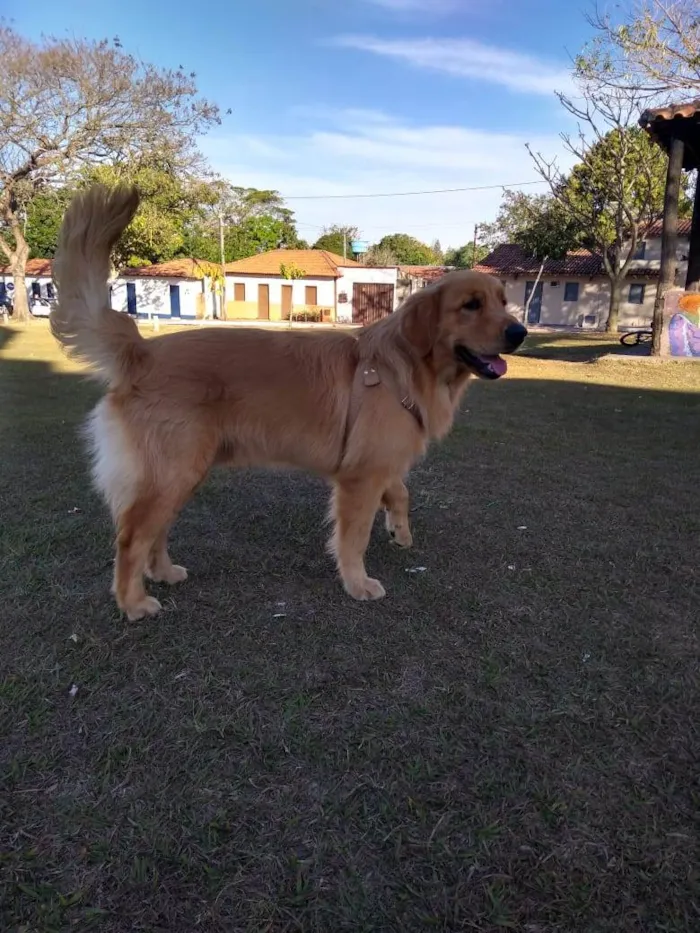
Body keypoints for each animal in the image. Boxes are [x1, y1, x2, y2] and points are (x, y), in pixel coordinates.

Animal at [50, 184, 524, 620]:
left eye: (504, 302)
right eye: (470, 305)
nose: (519, 332)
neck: (405, 365)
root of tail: (142, 351)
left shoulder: (381, 460)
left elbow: (401, 491)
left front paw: (399, 530)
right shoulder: (360, 476)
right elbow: (354, 537)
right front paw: (358, 582)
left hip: (182, 473)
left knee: (154, 533)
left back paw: (163, 573)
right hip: (173, 471)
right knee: (131, 537)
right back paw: (133, 602)